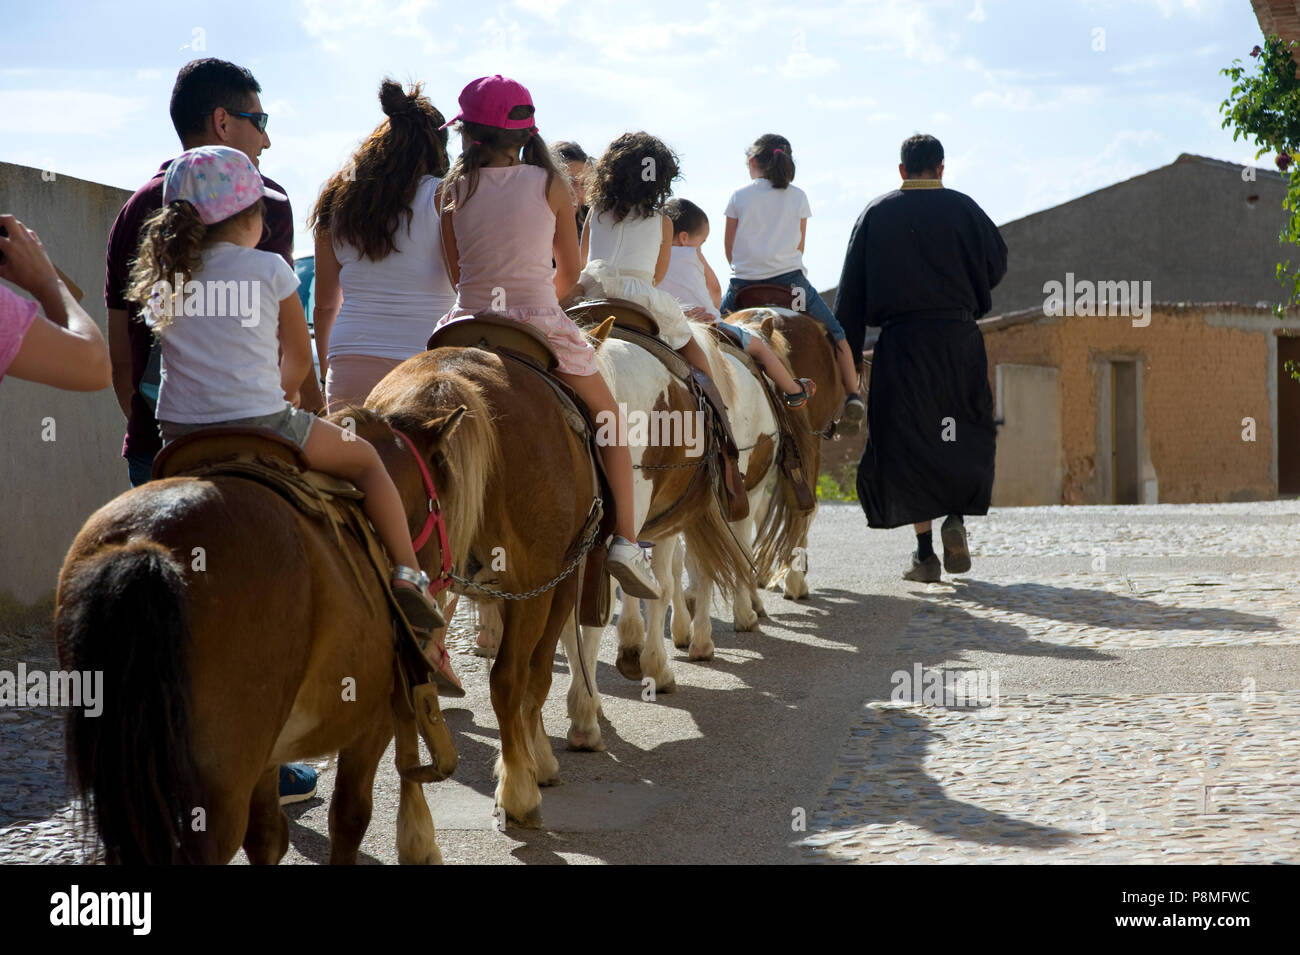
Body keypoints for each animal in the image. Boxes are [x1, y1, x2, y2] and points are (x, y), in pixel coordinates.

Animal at [57, 410, 462, 867]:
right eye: (444, 488)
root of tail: (144, 540)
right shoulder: (372, 725)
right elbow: (349, 817)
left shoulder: (267, 758)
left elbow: (267, 836)